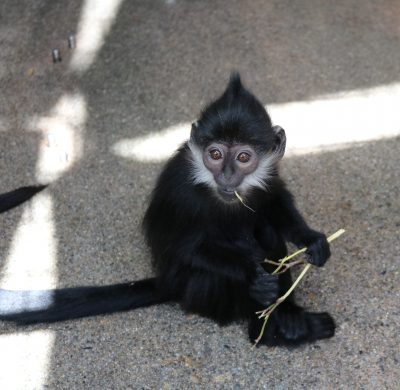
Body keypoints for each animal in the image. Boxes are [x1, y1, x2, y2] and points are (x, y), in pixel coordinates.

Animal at [0, 74, 334, 346]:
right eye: (215, 154)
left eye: (242, 157)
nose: (226, 175)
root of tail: (166, 284)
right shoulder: (180, 187)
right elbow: (182, 249)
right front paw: (255, 275)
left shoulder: (267, 175)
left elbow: (275, 203)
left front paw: (311, 239)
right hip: (197, 291)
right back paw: (265, 330)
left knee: (266, 229)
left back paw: (288, 317)